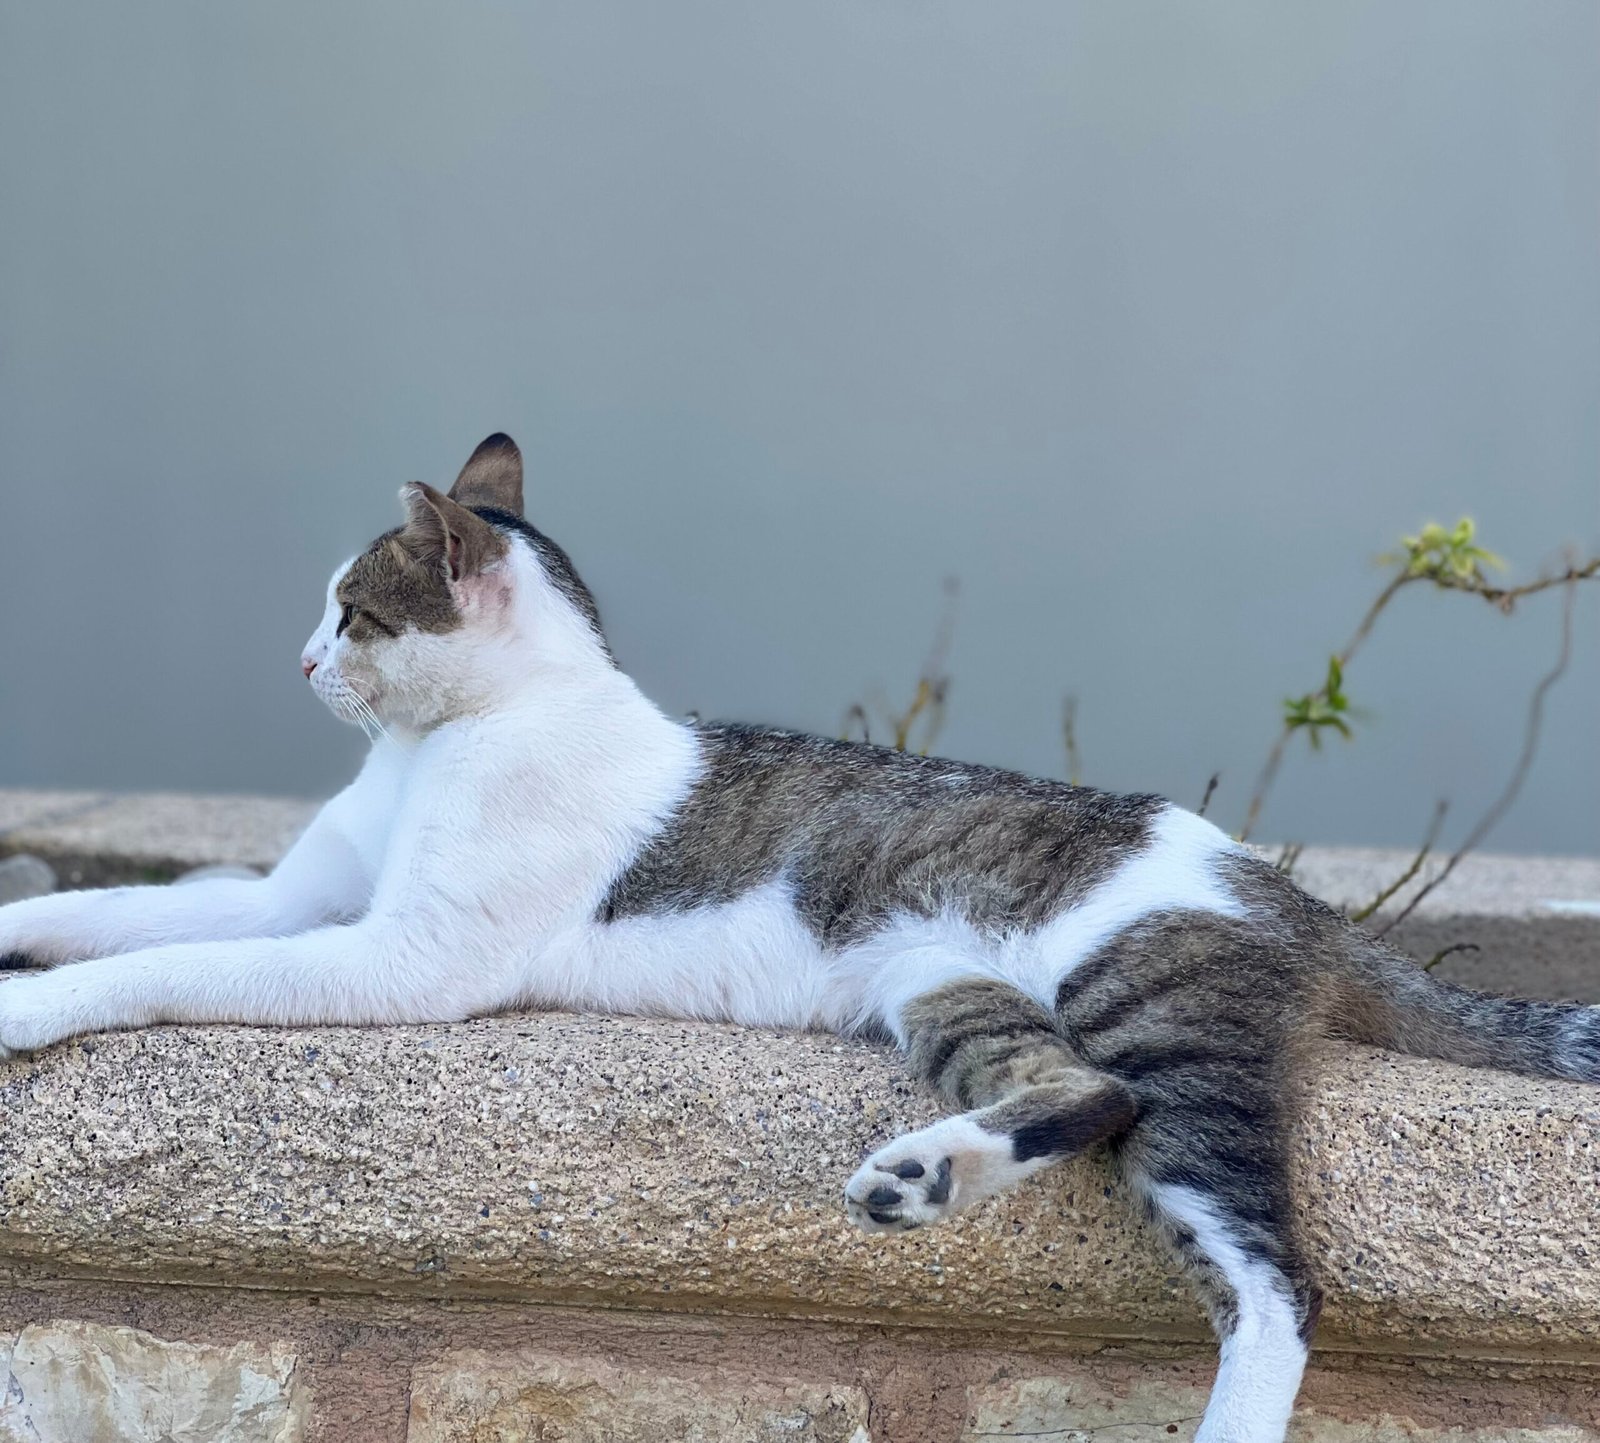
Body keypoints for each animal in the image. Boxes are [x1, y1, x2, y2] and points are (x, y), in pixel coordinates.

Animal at [0, 431, 1593, 1443]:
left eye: (350, 610)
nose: (302, 661)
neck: (464, 735)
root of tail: (1297, 894)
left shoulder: (400, 959)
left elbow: (162, 964)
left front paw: (31, 1010)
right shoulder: (294, 897)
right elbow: (108, 911)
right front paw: (22, 935)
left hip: (1161, 1021)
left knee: (1263, 1268)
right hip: (941, 983)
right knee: (1073, 1091)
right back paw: (920, 1179)